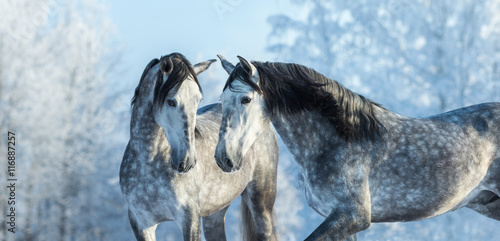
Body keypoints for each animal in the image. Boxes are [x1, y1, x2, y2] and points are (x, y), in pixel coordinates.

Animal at [119, 53, 280, 241]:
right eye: (171, 101)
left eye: (198, 100)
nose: (186, 161)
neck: (148, 162)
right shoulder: (141, 223)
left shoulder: (189, 218)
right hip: (214, 214)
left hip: (261, 203)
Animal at [215, 54, 500, 241]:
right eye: (222, 99)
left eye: (246, 99)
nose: (223, 159)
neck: (340, 140)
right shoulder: (338, 218)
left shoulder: (354, 216)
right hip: (488, 204)